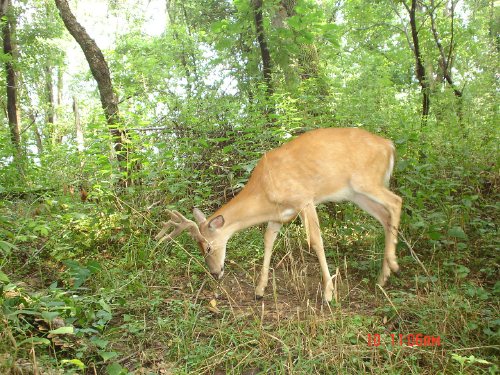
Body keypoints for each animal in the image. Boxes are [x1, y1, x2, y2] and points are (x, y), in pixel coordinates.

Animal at [156, 128, 402, 304]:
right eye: (198, 247)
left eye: (207, 247)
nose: (216, 272)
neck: (264, 190)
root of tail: (389, 145)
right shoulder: (279, 215)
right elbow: (267, 241)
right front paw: (259, 290)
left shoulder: (305, 199)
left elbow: (315, 241)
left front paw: (328, 293)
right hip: (356, 194)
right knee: (385, 216)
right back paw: (383, 277)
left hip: (366, 181)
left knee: (396, 202)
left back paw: (393, 264)